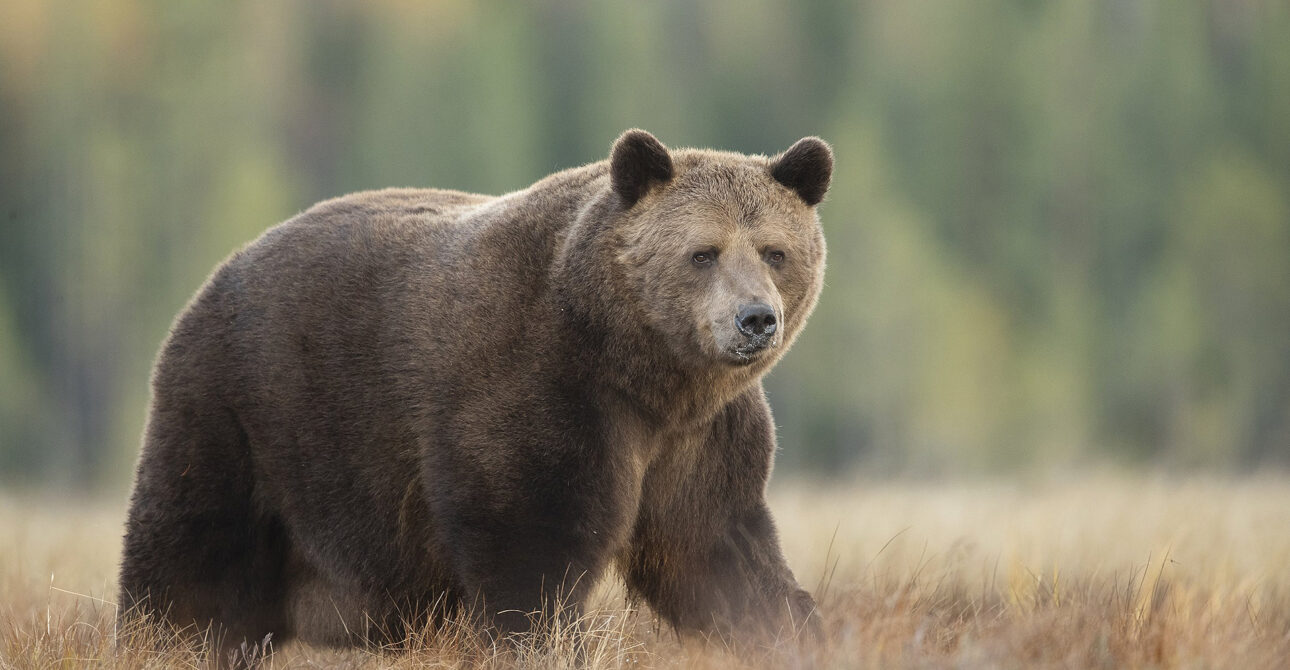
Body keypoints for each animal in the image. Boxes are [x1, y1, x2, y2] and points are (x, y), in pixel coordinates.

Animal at [118, 129, 833, 659]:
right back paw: (162, 641)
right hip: (248, 414)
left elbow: (717, 551)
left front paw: (791, 630)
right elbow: (532, 551)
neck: (639, 368)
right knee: (192, 556)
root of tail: (216, 276)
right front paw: (543, 644)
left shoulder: (700, 439)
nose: (755, 319)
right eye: (703, 252)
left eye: (774, 251)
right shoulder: (540, 392)